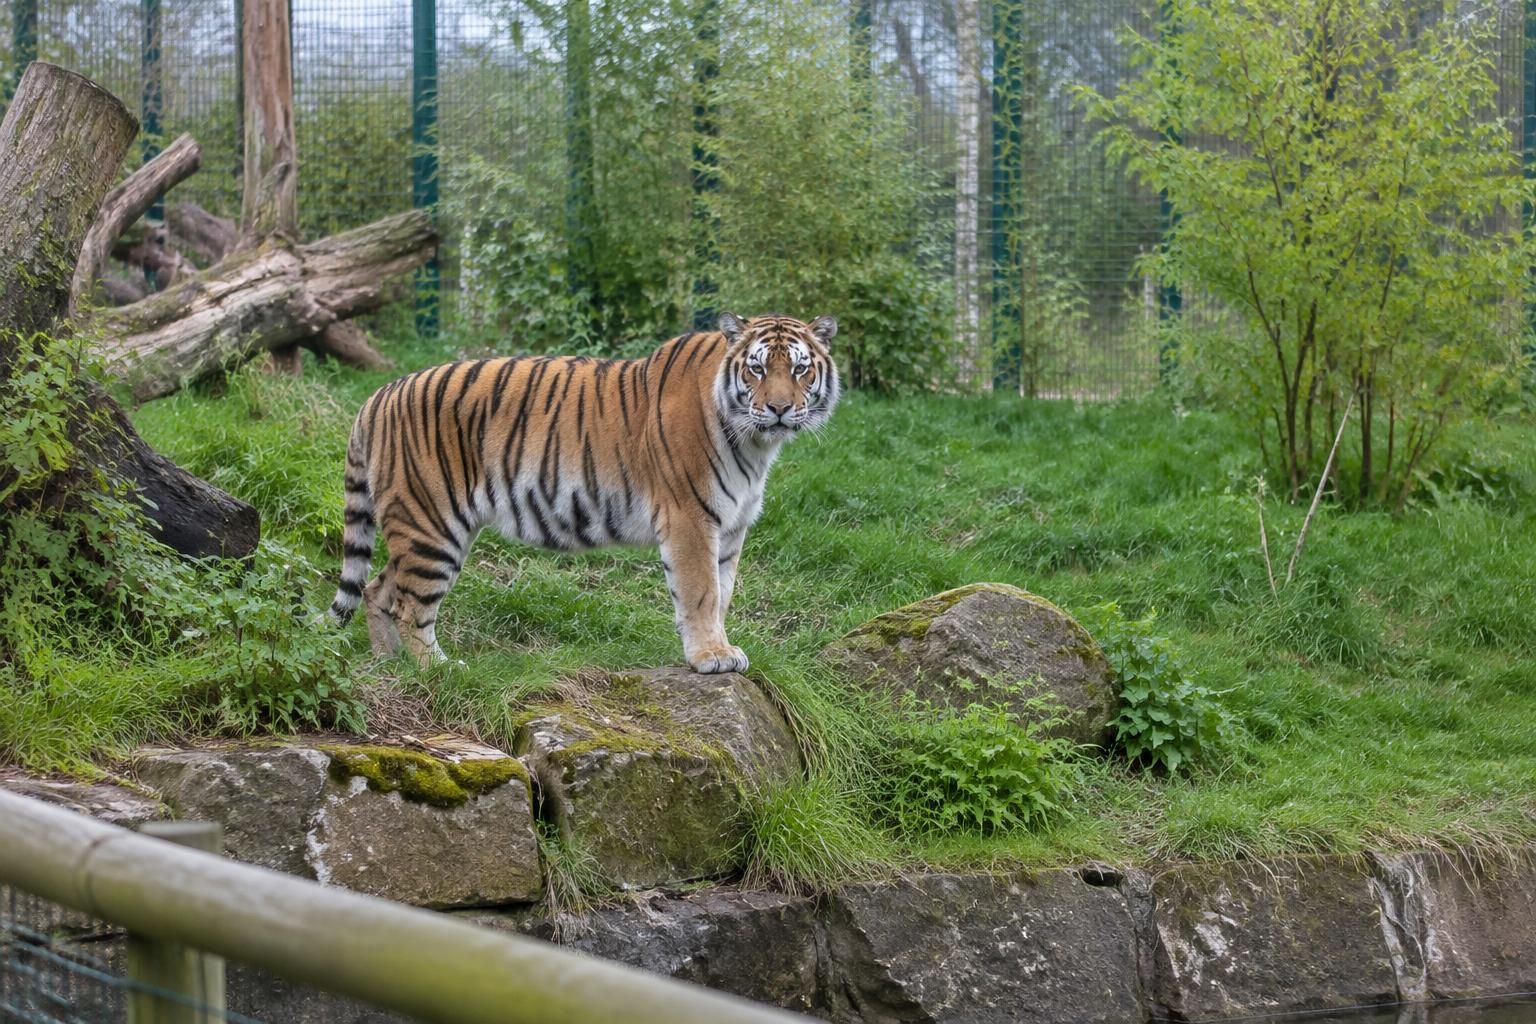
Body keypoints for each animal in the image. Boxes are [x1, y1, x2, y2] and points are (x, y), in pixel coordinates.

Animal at [327, 312, 840, 673]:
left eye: (800, 370)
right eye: (756, 369)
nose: (779, 408)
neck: (756, 444)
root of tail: (378, 395)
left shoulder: (731, 528)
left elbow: (723, 590)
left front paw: (720, 646)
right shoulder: (691, 519)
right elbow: (701, 592)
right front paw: (710, 657)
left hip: (422, 526)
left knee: (377, 589)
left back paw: (388, 663)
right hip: (431, 523)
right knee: (410, 604)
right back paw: (436, 670)